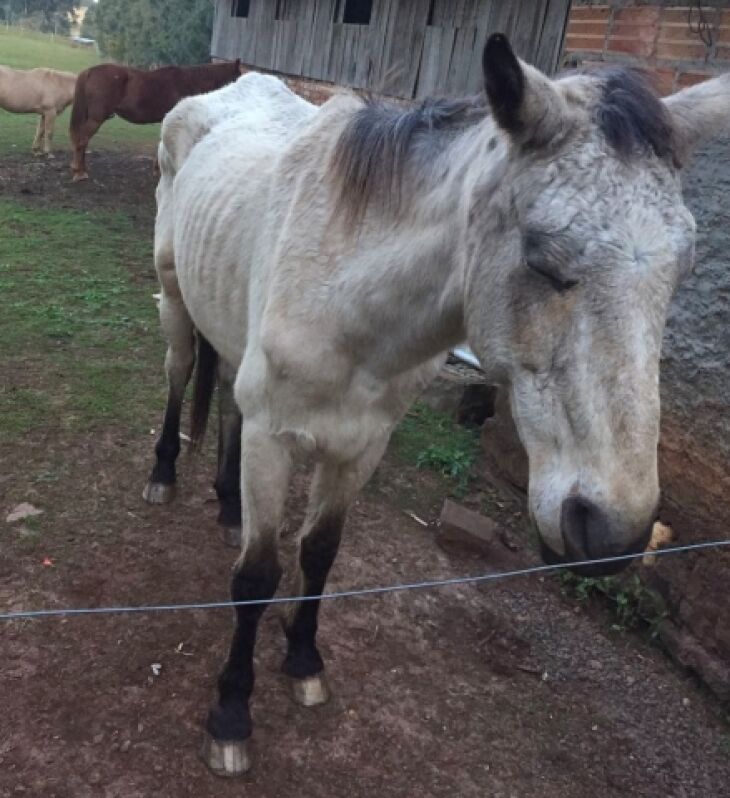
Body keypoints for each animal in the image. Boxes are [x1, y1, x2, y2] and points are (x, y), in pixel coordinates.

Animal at [68, 61, 240, 183]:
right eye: (239, 77)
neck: (188, 82)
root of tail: (90, 71)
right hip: (96, 119)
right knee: (82, 140)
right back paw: (79, 172)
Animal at [144, 34, 728, 780]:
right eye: (542, 258)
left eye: (683, 271)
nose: (611, 533)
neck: (347, 297)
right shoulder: (277, 439)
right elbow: (257, 577)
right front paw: (230, 716)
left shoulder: (362, 445)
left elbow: (320, 553)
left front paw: (304, 661)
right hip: (174, 298)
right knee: (180, 373)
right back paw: (164, 474)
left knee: (226, 405)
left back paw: (225, 506)